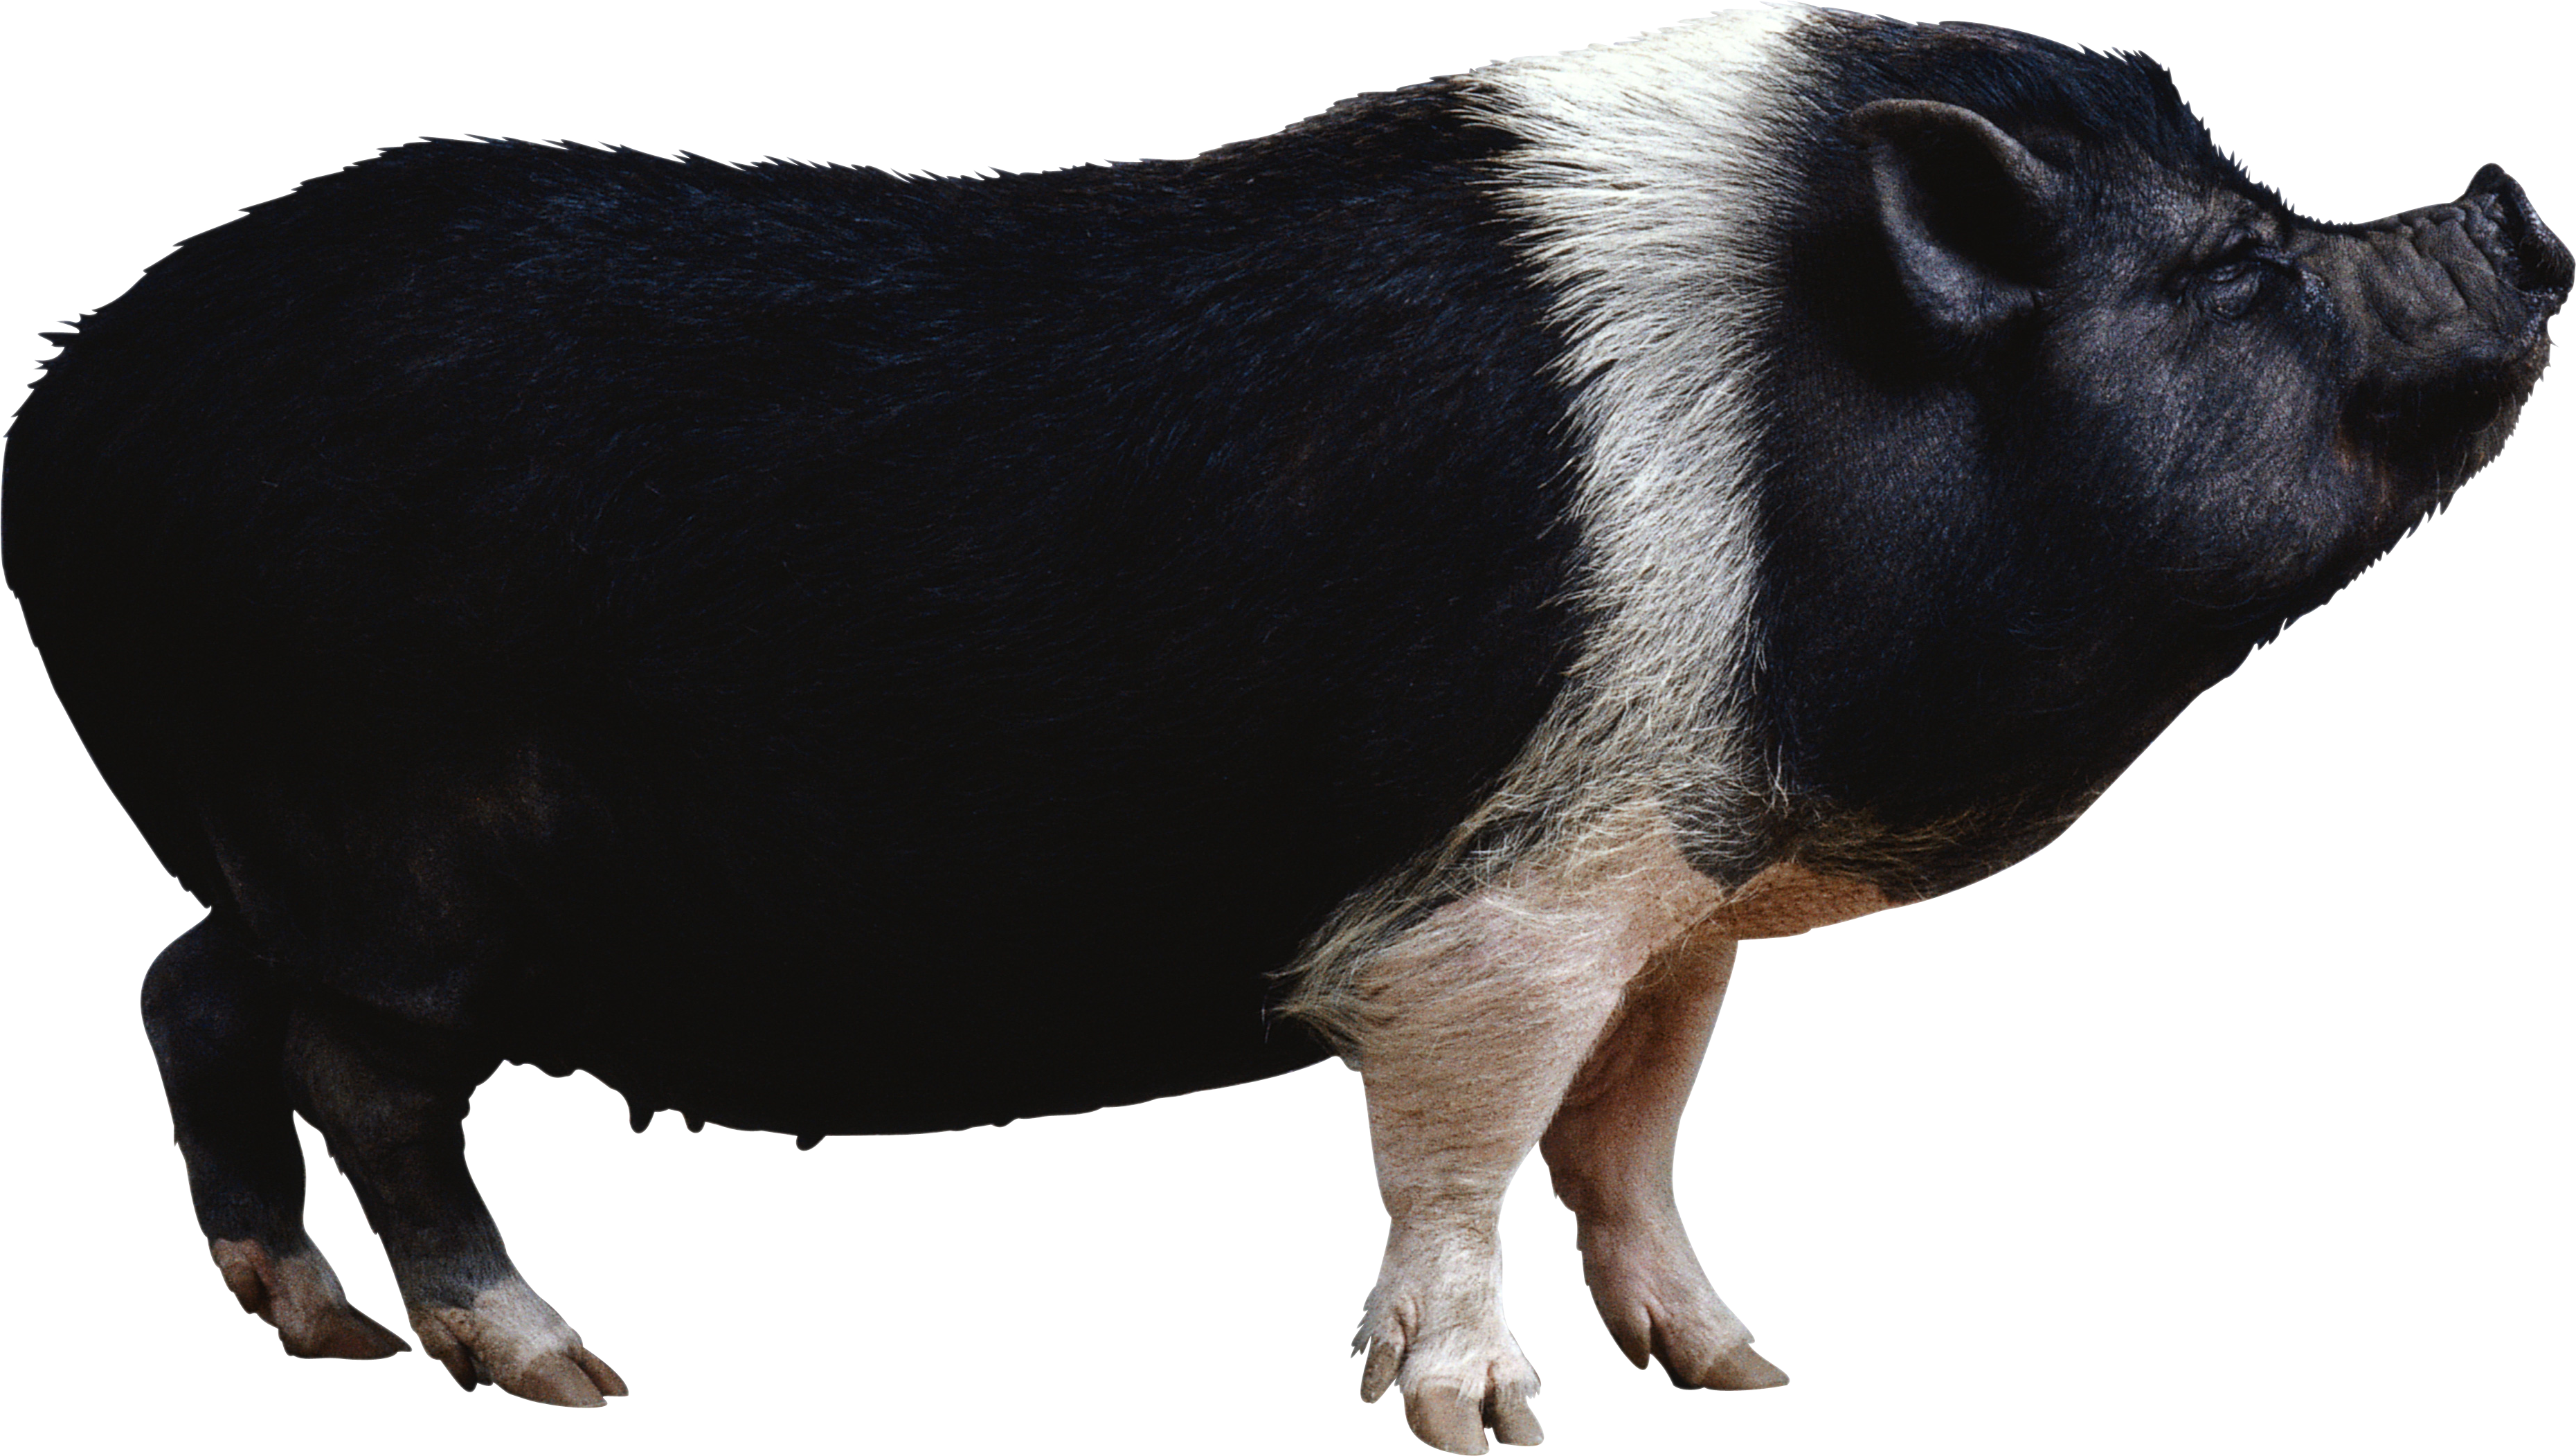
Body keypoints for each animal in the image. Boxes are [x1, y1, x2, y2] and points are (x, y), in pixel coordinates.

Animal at [2, 5, 2563, 1453]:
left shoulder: (1670, 888)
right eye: (2234, 268)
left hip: (299, 864)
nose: (2510, 196)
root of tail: (68, 400)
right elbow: (1463, 1146)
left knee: (184, 986)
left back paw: (320, 1336)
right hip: (395, 865)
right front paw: (1488, 1421)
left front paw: (1745, 1369)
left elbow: (1629, 1134)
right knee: (350, 1068)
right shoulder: (1499, 910)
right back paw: (560, 1369)